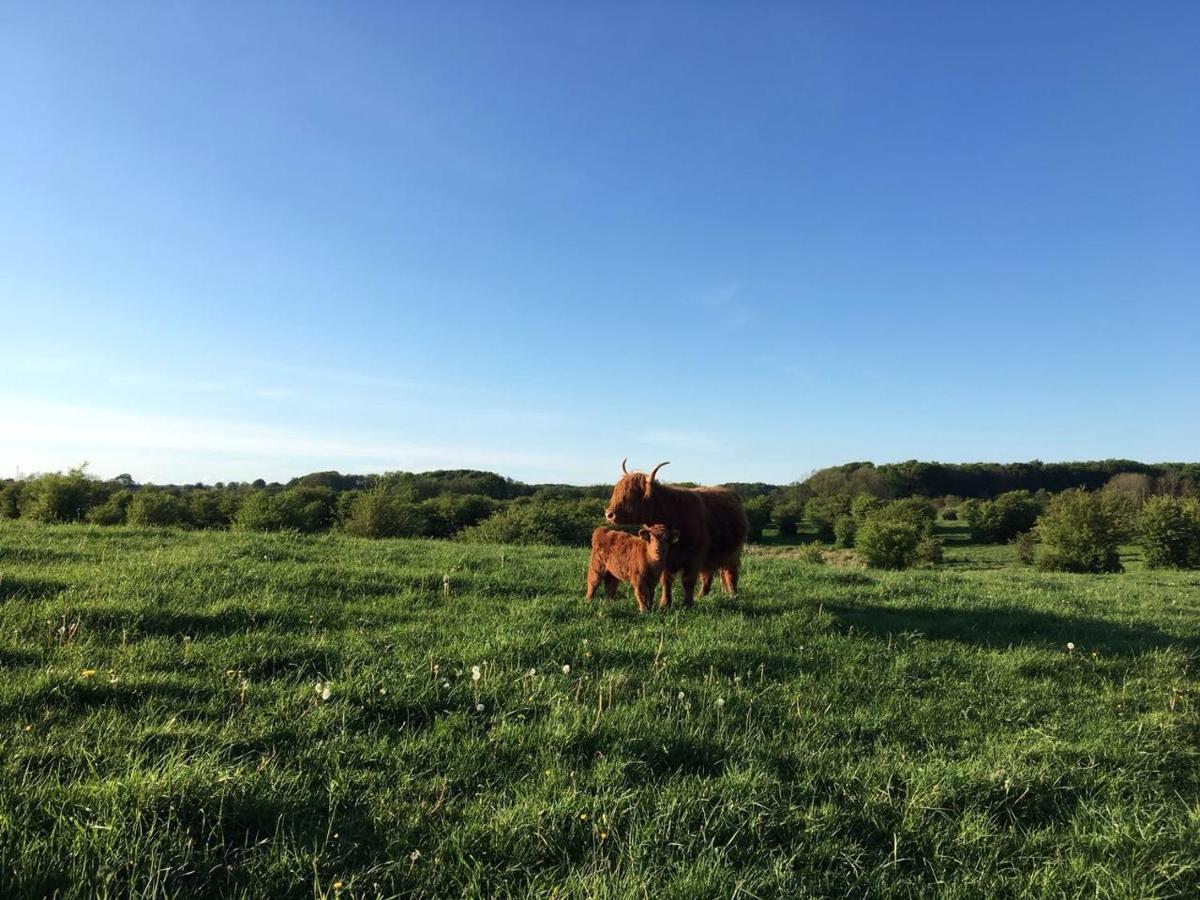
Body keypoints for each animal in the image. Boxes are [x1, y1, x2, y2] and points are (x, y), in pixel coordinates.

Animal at [604, 460, 744, 609]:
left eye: (632, 494)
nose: (609, 514)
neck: (670, 512)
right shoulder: (664, 558)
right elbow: (665, 581)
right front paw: (664, 604)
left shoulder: (694, 556)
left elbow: (688, 581)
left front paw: (688, 604)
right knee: (707, 574)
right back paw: (701, 596)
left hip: (734, 552)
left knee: (730, 573)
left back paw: (733, 596)